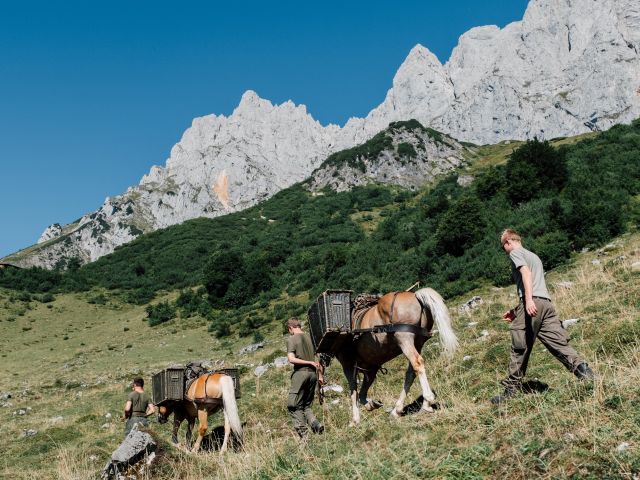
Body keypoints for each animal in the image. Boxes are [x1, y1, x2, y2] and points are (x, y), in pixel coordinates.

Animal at [330, 286, 460, 426]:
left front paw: (355, 419)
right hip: (417, 343)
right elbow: (362, 391)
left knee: (417, 363)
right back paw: (399, 409)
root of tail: (416, 296)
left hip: (404, 338)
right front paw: (371, 404)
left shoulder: (348, 364)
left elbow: (353, 389)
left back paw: (427, 401)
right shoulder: (371, 367)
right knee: (411, 372)